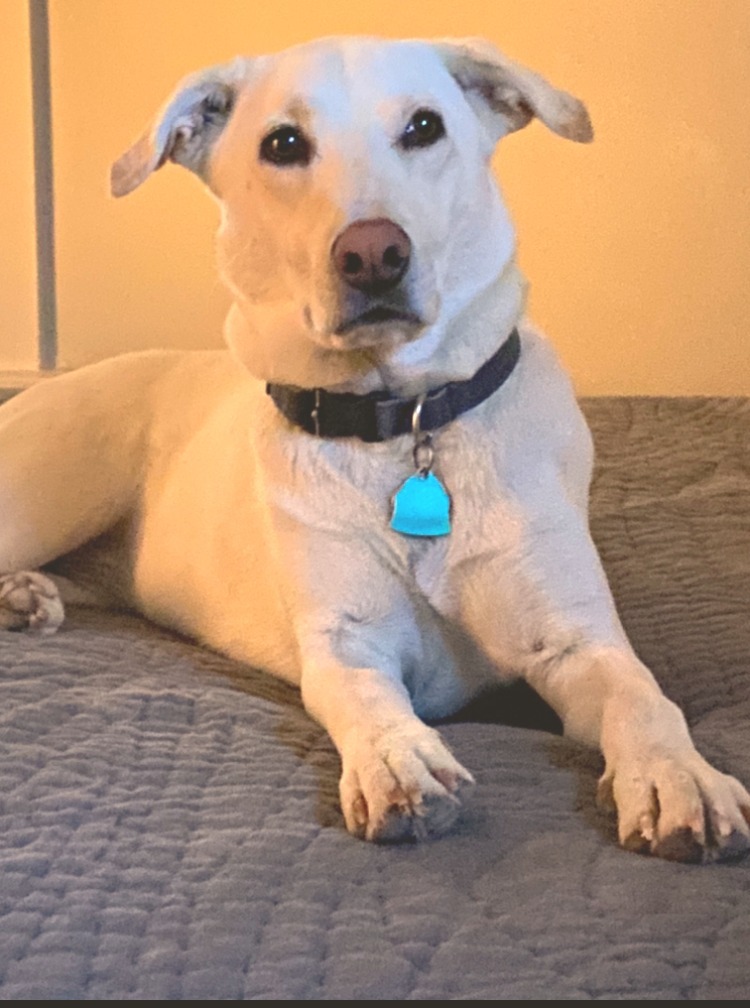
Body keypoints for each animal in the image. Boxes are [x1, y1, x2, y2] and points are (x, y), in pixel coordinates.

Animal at [2, 37, 745, 858]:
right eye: (283, 144)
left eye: (424, 126)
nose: (373, 253)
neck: (403, 426)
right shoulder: (345, 642)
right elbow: (364, 696)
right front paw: (397, 761)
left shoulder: (575, 642)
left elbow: (644, 699)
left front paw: (679, 779)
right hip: (52, 496)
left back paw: (30, 597)